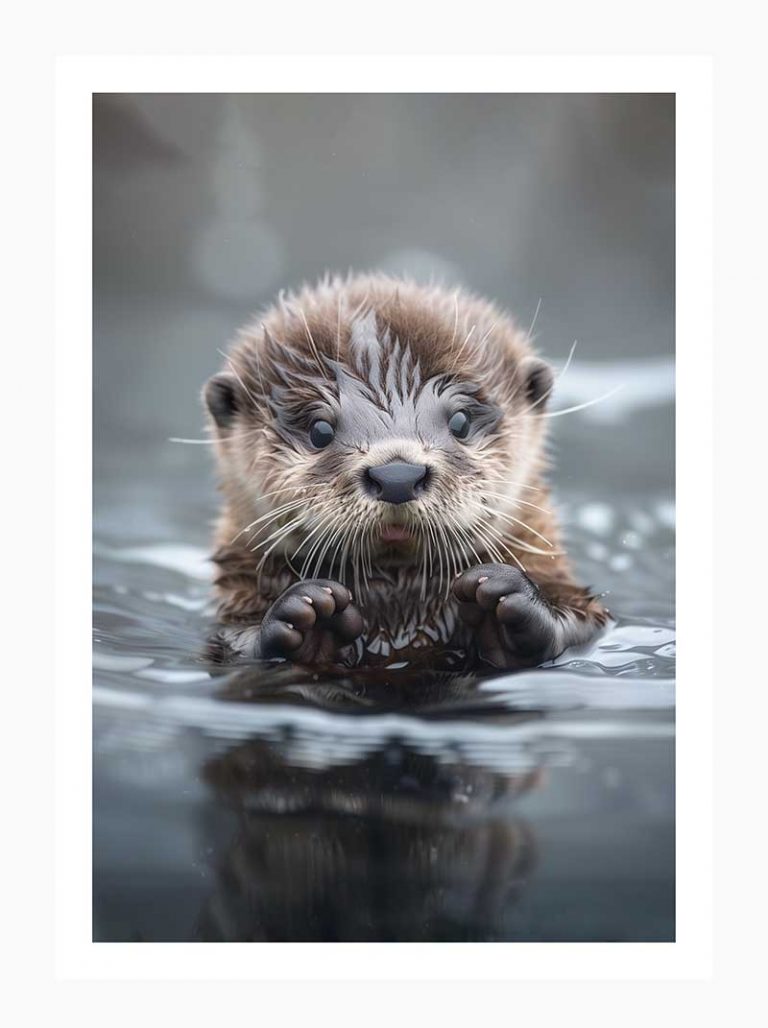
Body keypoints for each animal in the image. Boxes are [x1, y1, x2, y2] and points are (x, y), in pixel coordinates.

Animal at [203, 273, 608, 669]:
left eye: (460, 421)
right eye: (319, 430)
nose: (397, 476)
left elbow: (581, 622)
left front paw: (509, 593)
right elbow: (238, 639)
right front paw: (303, 610)